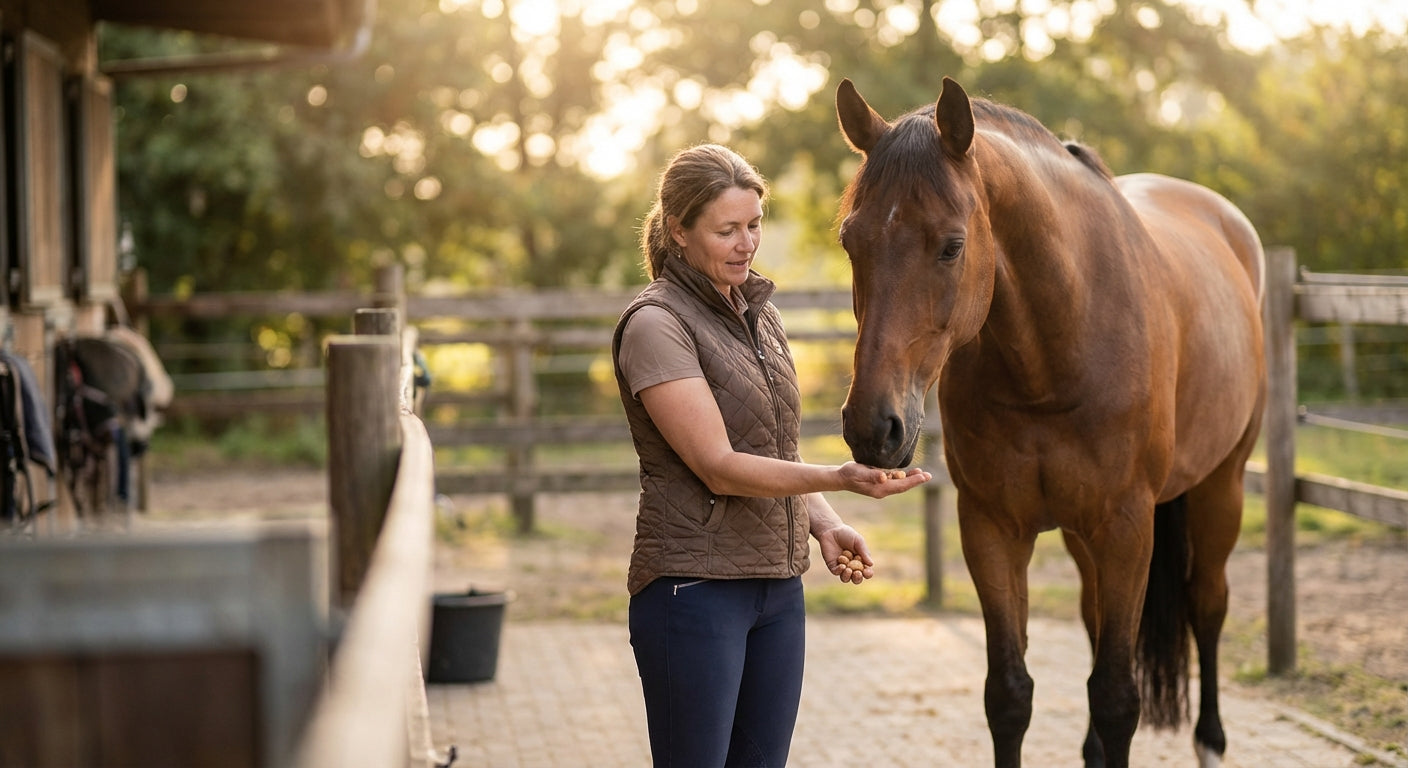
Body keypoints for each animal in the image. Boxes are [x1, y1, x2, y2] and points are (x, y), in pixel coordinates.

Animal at [834, 77, 1265, 768]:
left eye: (952, 246)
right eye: (852, 242)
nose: (875, 427)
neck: (1055, 359)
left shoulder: (1126, 528)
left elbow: (1116, 698)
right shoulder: (992, 528)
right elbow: (1009, 694)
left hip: (1220, 487)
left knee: (1208, 604)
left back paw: (1211, 742)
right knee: (1094, 616)